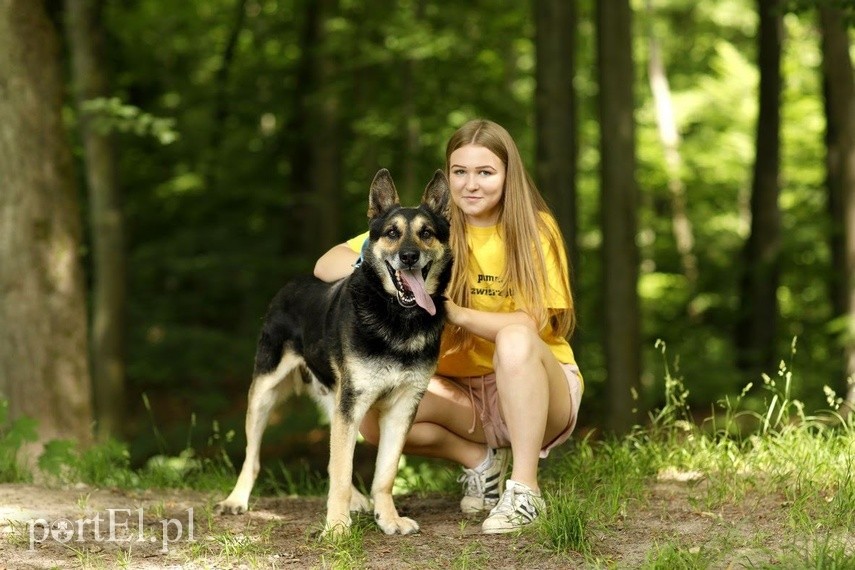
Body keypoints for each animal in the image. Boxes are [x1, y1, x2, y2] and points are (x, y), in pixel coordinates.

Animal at [216, 168, 454, 532]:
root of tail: (290, 284)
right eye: (392, 233)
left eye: (426, 233)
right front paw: (337, 527)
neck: (397, 317)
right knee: (252, 456)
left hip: (333, 401)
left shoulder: (402, 407)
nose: (409, 257)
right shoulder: (352, 404)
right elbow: (342, 470)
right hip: (264, 394)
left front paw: (388, 518)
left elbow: (384, 473)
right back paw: (236, 500)